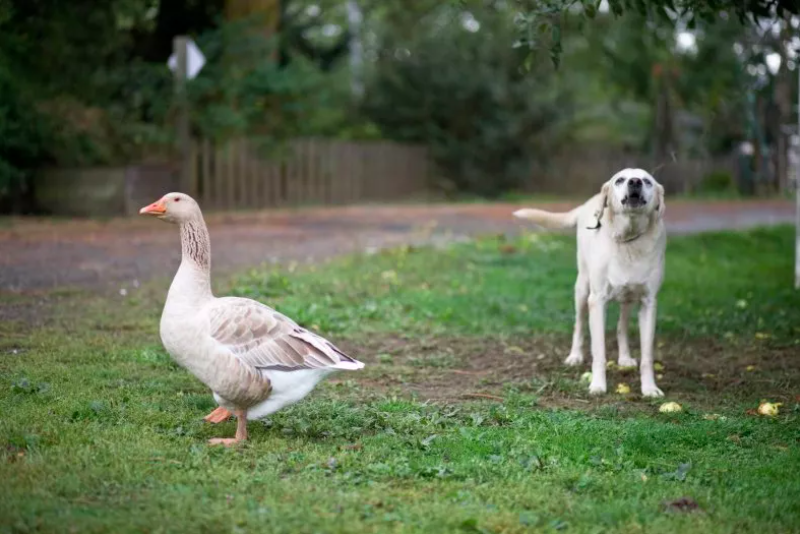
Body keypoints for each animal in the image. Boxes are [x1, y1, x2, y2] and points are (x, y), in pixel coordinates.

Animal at [516, 170, 664, 400]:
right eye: (620, 180)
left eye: (647, 181)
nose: (635, 182)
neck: (628, 240)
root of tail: (588, 202)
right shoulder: (597, 300)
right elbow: (599, 352)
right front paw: (598, 385)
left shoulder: (648, 304)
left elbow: (647, 356)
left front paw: (649, 388)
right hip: (582, 290)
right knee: (578, 325)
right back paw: (575, 356)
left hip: (627, 298)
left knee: (622, 326)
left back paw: (624, 357)